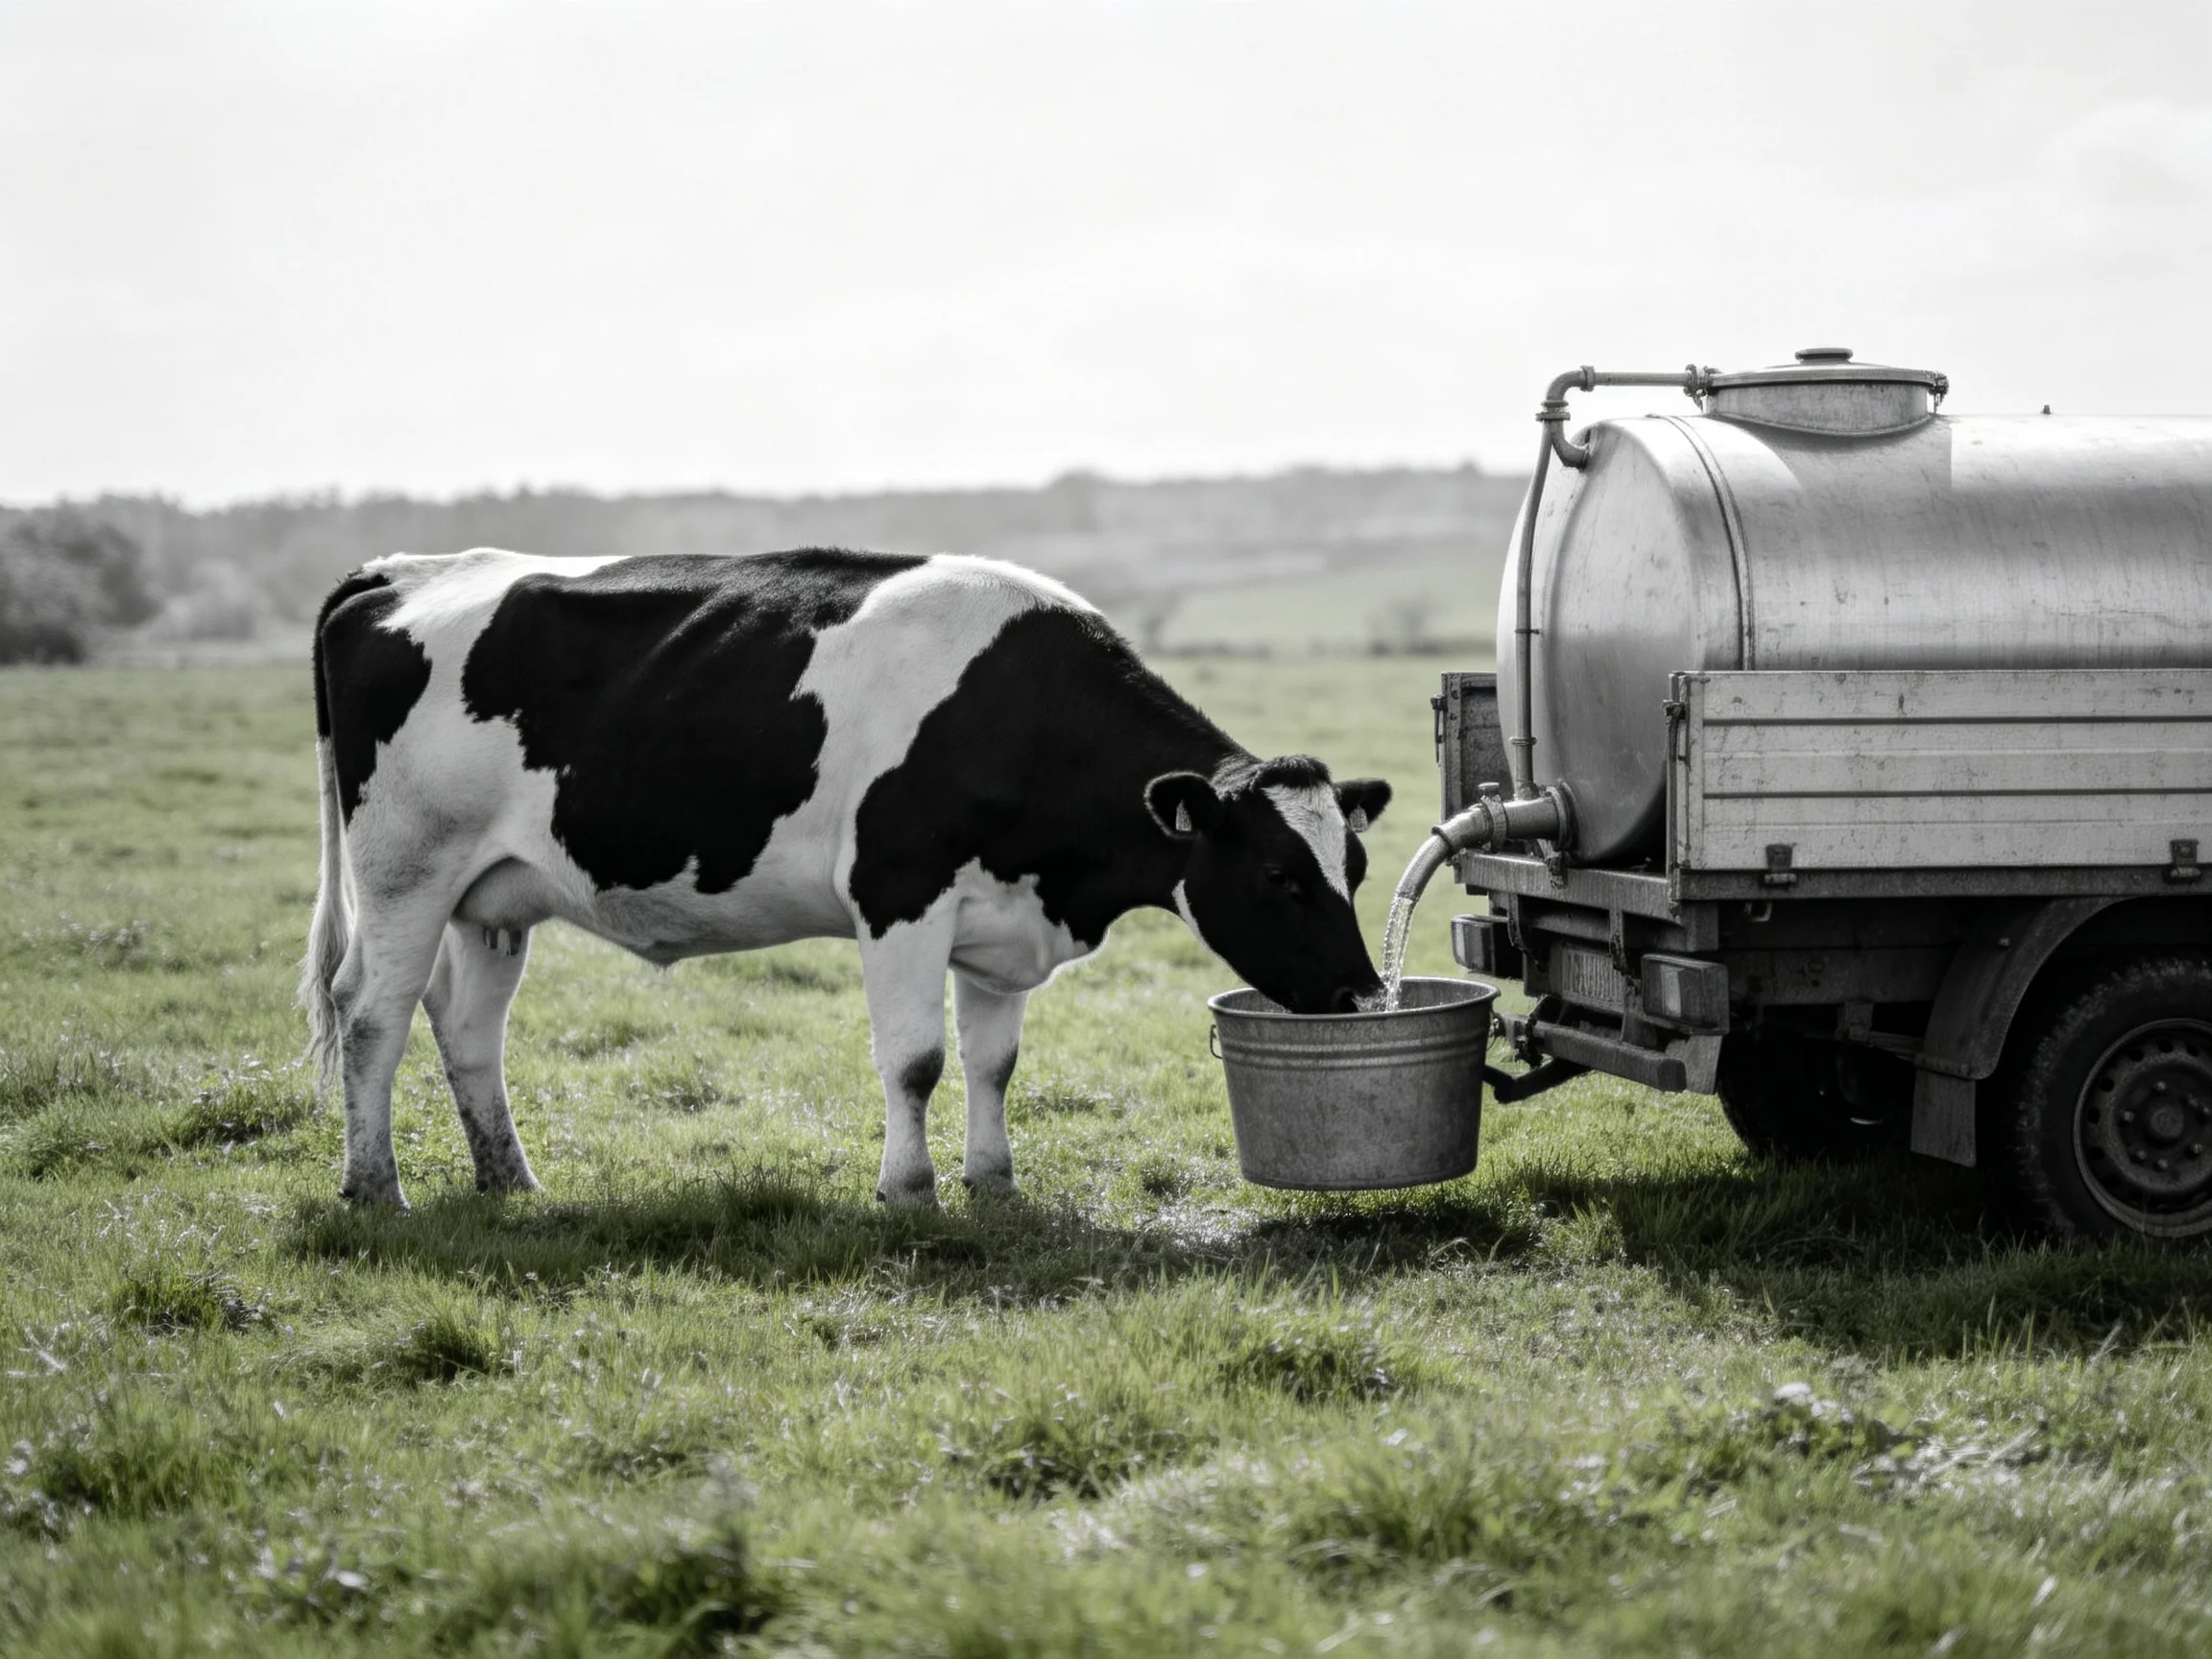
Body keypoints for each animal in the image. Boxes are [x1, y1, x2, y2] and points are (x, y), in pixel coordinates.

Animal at [300, 548, 1393, 1209]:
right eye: (1277, 873)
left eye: (1355, 863)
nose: (1361, 995)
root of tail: (403, 572)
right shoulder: (899, 892)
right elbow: (916, 1060)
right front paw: (909, 1191)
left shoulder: (1000, 923)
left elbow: (994, 1063)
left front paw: (994, 1184)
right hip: (403, 870)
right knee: (369, 1013)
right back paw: (375, 1188)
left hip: (492, 894)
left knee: (466, 1023)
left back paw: (510, 1182)